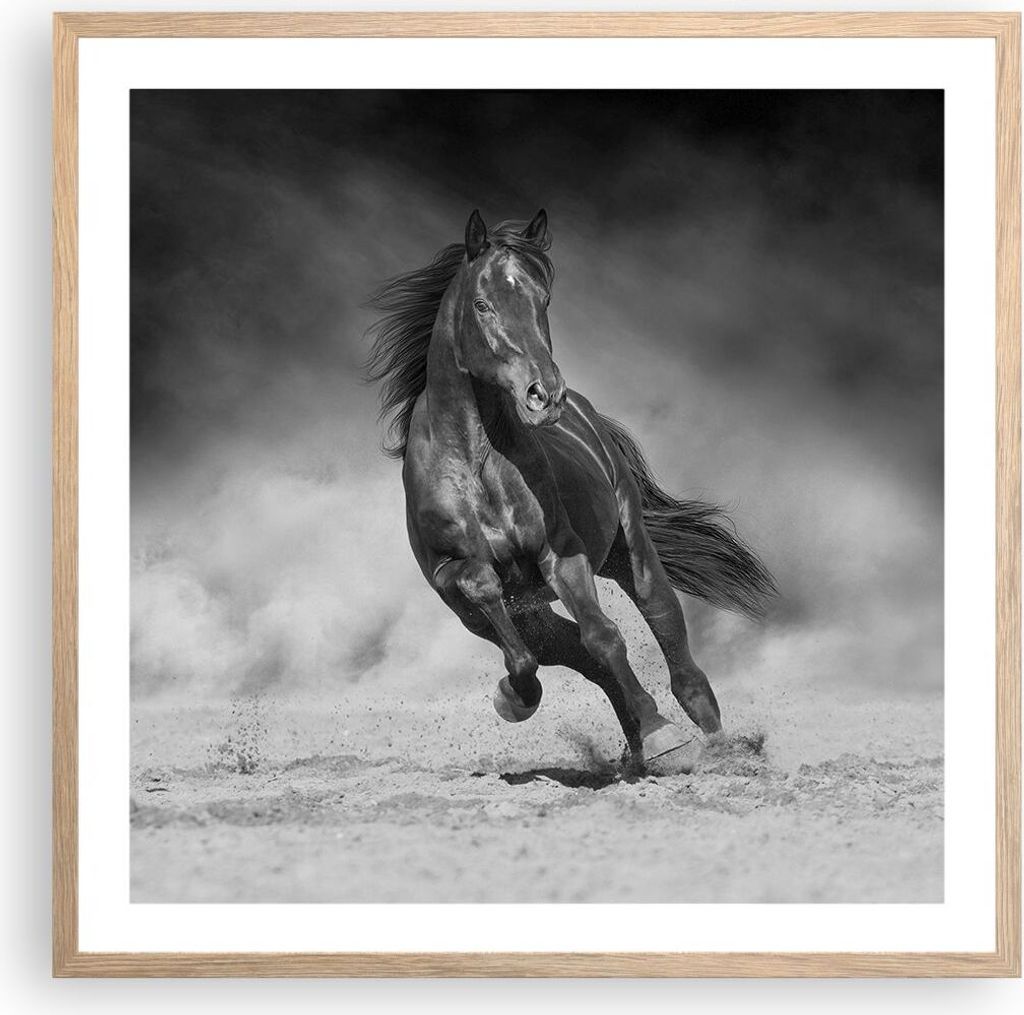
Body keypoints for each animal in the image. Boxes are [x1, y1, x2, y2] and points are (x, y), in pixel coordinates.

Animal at [367, 209, 776, 773]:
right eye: (482, 304)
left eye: (543, 300)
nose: (544, 394)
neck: (475, 463)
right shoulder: (454, 581)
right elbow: (507, 623)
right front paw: (513, 697)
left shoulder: (561, 556)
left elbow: (604, 636)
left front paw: (665, 737)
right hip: (518, 612)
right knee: (571, 655)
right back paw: (633, 745)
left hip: (630, 551)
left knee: (667, 634)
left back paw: (714, 746)